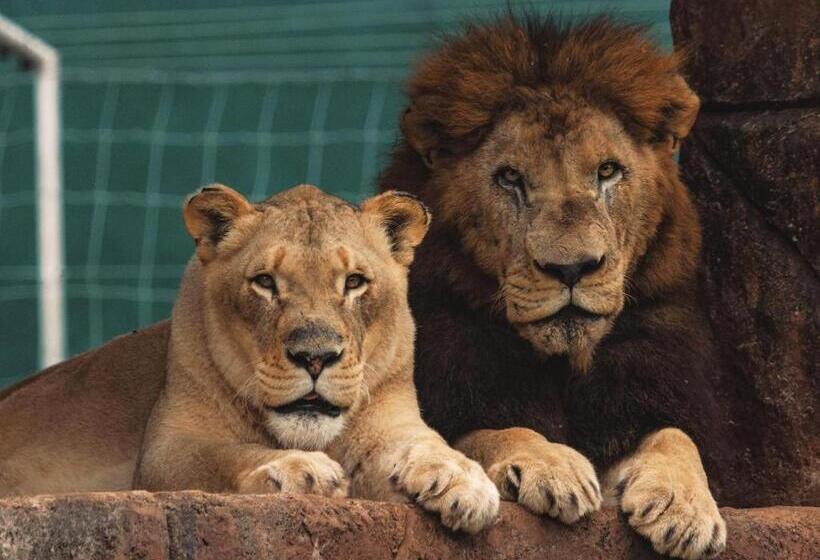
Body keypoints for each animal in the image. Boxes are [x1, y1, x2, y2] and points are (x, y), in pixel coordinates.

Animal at [131, 183, 499, 533]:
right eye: (265, 281)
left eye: (354, 282)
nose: (315, 357)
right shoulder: (164, 451)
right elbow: (224, 455)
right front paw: (297, 468)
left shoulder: (392, 421)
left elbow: (426, 443)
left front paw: (463, 479)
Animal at [378, 15, 730, 559]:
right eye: (510, 178)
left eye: (607, 171)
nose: (572, 269)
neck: (564, 365)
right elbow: (495, 430)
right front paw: (553, 466)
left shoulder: (643, 387)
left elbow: (675, 436)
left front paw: (685, 506)